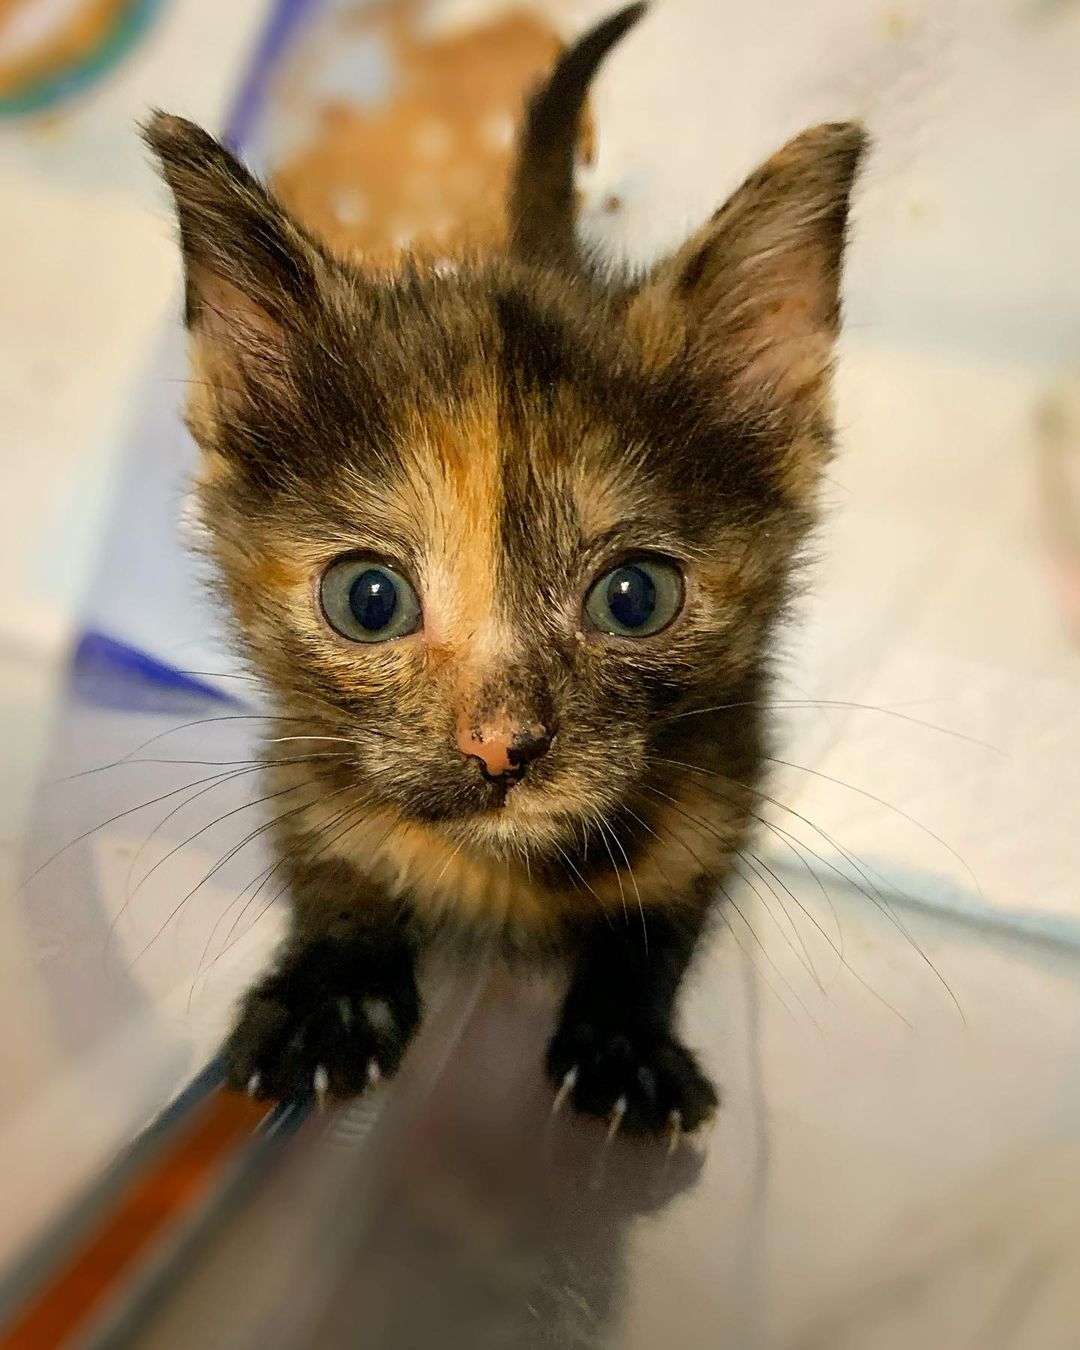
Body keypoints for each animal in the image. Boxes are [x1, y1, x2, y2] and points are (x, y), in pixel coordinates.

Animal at [145, 5, 869, 1134]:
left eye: (635, 596)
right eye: (368, 600)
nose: (501, 749)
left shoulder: (729, 768)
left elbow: (662, 911)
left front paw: (624, 1038)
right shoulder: (302, 753)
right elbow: (330, 859)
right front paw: (330, 995)